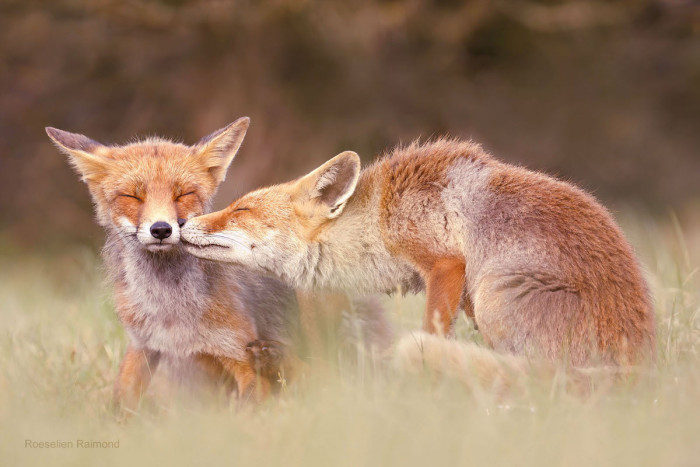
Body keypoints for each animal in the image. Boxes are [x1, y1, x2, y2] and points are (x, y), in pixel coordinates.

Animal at [46, 118, 390, 410]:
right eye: (132, 197)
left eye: (183, 194)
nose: (161, 230)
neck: (171, 308)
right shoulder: (143, 344)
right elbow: (121, 401)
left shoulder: (237, 352)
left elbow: (251, 410)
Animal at [180, 138, 656, 368]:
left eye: (241, 209)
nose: (179, 224)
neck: (379, 216)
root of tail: (638, 370)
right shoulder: (459, 293)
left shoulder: (445, 264)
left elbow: (431, 332)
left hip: (494, 294)